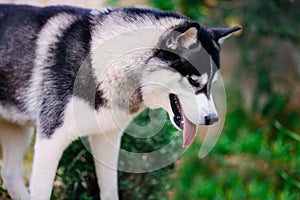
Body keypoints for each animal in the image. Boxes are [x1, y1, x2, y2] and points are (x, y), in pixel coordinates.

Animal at [0, 3, 240, 199]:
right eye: (193, 81)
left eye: (212, 83)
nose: (213, 119)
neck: (101, 64)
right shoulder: (50, 141)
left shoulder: (106, 139)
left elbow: (109, 191)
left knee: (10, 174)